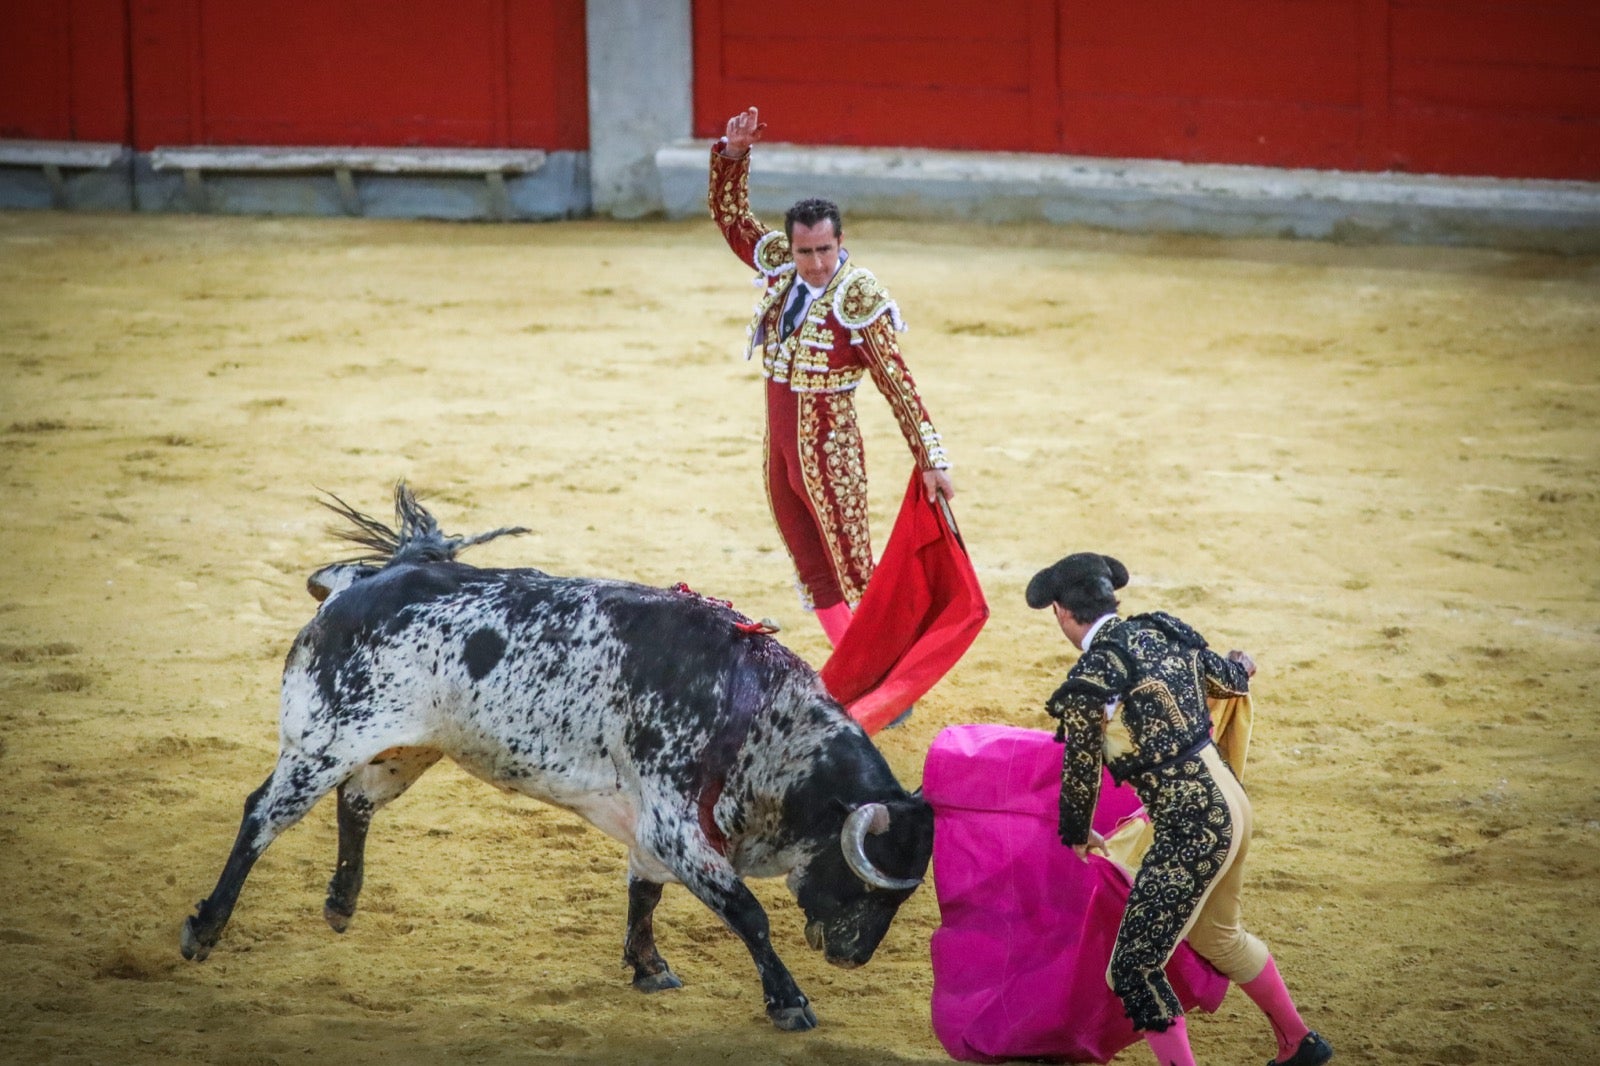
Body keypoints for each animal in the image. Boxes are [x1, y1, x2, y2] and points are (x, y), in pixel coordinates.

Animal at [180, 483, 934, 1030]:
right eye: (867, 883)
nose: (853, 957)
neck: (757, 713)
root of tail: (360, 583)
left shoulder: (653, 830)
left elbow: (644, 892)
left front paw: (648, 968)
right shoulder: (676, 825)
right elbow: (746, 911)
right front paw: (790, 1003)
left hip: (406, 747)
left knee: (357, 800)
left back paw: (341, 902)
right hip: (322, 741)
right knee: (262, 815)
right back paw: (205, 928)